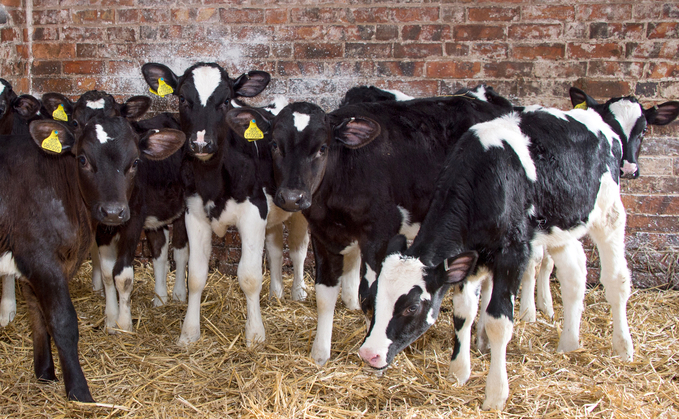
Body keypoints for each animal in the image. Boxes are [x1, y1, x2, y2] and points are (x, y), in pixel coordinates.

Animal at [0, 102, 185, 401]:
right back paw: (161, 297)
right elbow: (58, 317)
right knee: (160, 246)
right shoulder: (41, 257)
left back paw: (175, 294)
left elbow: (121, 276)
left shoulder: (130, 219)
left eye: (135, 162)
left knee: (178, 249)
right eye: (83, 159)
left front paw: (123, 324)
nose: (112, 211)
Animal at [141, 62, 310, 346]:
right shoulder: (194, 215)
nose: (200, 142)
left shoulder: (254, 213)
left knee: (298, 252)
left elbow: (250, 277)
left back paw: (298, 293)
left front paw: (255, 335)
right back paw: (276, 293)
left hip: (300, 205)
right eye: (182, 98)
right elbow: (196, 276)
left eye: (226, 101)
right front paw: (189, 333)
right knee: (276, 250)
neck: (213, 180)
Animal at [226, 85, 515, 366]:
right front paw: (320, 353)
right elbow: (325, 295)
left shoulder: (380, 237)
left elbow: (371, 295)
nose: (292, 197)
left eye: (322, 148)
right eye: (274, 144)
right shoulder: (322, 235)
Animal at [358, 88, 679, 410]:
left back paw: (623, 346)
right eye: (373, 299)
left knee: (616, 281)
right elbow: (463, 312)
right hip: (561, 227)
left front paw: (495, 394)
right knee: (574, 275)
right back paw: (569, 343)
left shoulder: (512, 254)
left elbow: (498, 321)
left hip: (609, 213)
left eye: (412, 306)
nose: (369, 354)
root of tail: (594, 119)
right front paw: (459, 372)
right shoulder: (470, 256)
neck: (485, 181)